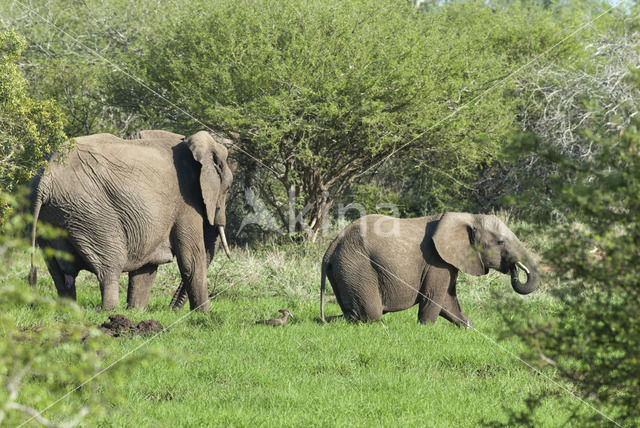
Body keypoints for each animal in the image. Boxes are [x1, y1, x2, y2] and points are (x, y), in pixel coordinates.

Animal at [30, 130, 234, 310]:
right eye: (228, 187)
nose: (170, 310)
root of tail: (46, 179)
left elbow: (147, 266)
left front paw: (136, 311)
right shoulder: (186, 202)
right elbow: (192, 258)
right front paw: (204, 315)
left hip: (51, 217)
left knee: (58, 272)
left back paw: (68, 309)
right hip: (91, 212)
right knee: (110, 264)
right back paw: (111, 310)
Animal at [318, 212, 536, 326]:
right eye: (500, 242)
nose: (515, 268)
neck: (467, 217)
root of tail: (331, 247)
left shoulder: (447, 263)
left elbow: (448, 302)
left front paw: (469, 327)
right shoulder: (436, 261)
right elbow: (434, 298)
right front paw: (426, 328)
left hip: (344, 268)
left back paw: (325, 320)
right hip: (356, 266)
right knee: (370, 313)